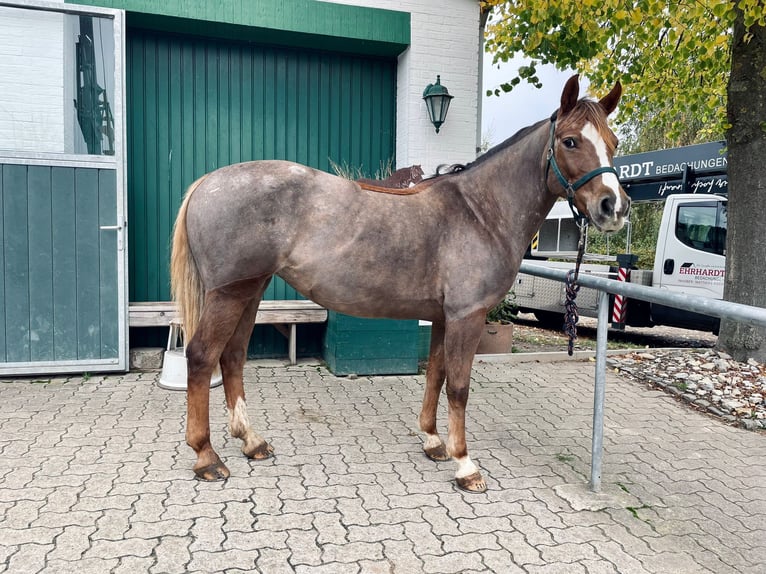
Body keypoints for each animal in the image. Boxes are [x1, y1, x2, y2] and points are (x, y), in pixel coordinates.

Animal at [170, 73, 632, 496]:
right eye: (570, 141)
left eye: (612, 141)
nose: (614, 207)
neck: (479, 212)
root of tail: (208, 183)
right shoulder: (467, 317)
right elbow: (459, 387)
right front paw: (466, 465)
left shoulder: (445, 318)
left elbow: (437, 375)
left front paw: (433, 441)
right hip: (229, 294)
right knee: (202, 356)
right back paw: (207, 457)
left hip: (250, 291)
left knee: (232, 357)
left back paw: (251, 442)